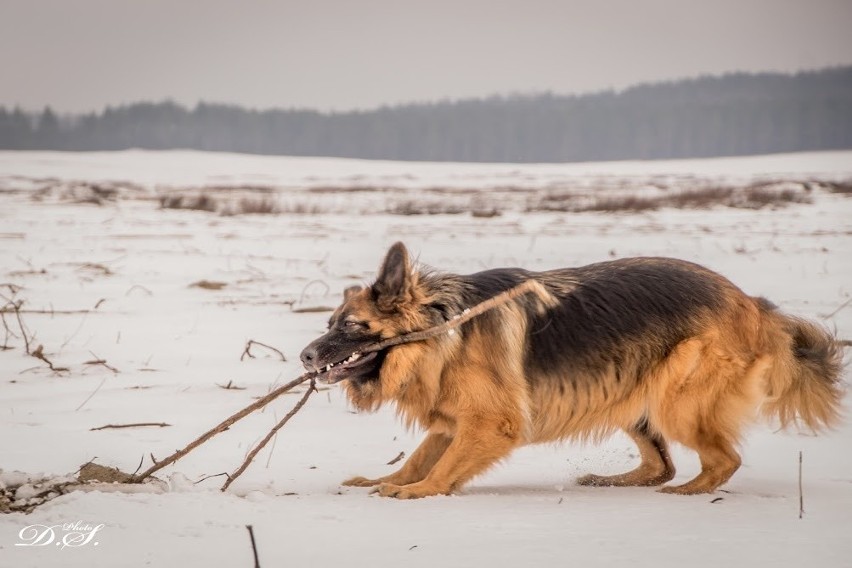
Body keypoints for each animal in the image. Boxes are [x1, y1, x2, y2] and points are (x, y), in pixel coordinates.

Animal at [300, 242, 844, 500]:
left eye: (349, 326)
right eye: (328, 323)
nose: (304, 357)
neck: (442, 327)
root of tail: (754, 306)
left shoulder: (490, 424)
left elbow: (443, 466)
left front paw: (417, 493)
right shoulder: (455, 422)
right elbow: (419, 457)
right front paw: (385, 480)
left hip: (675, 401)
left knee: (721, 462)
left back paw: (685, 493)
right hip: (632, 394)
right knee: (660, 464)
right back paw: (614, 481)